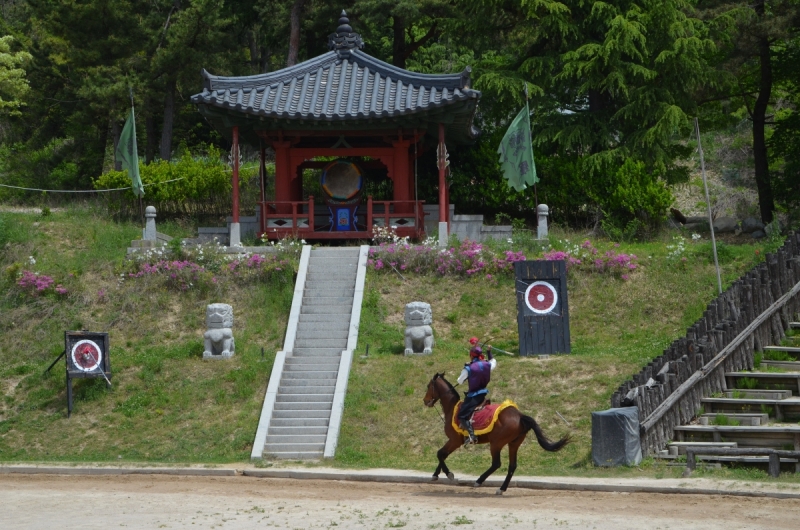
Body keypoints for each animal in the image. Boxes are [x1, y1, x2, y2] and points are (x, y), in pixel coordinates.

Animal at [422, 370, 572, 492]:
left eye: (429, 386)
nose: (425, 401)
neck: (452, 408)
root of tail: (519, 415)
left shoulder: (454, 440)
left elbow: (440, 454)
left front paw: (448, 474)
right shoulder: (454, 441)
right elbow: (442, 455)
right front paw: (435, 474)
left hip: (496, 443)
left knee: (496, 463)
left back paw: (479, 481)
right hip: (513, 444)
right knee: (512, 466)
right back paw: (502, 488)